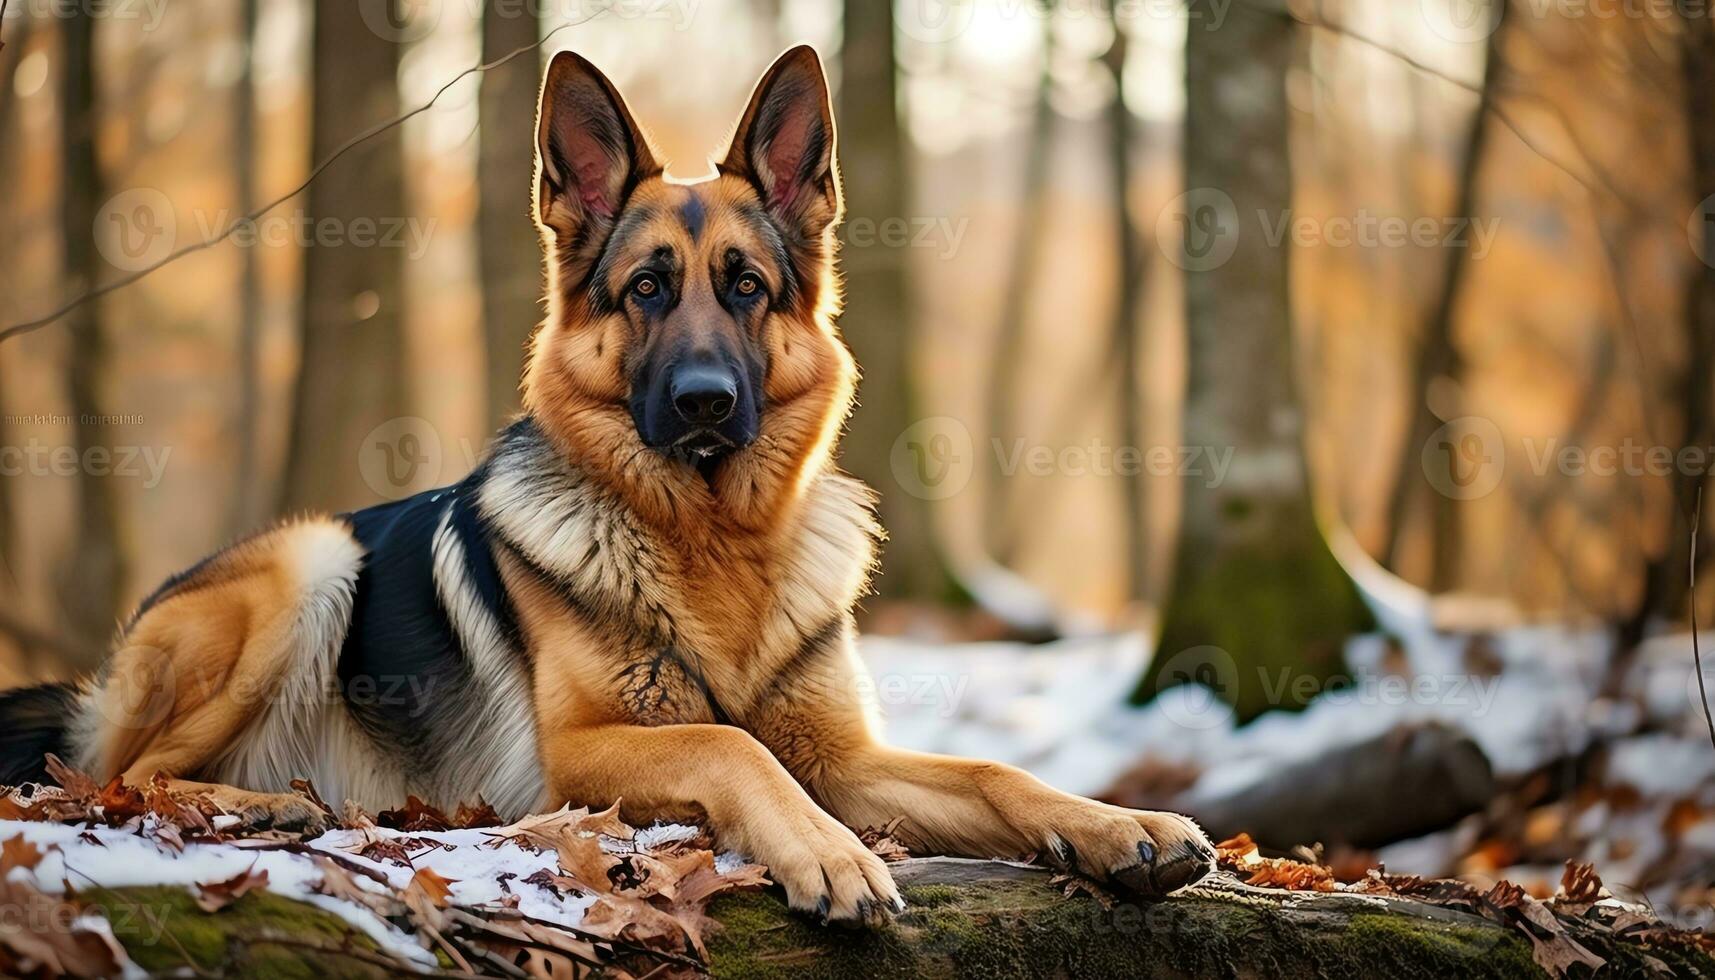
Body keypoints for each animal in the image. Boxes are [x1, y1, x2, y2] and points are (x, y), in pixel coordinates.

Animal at [0, 44, 1214, 919]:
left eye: (744, 286)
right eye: (645, 290)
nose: (705, 403)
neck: (716, 543)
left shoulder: (847, 756)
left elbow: (990, 771)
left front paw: (1117, 824)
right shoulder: (581, 752)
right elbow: (729, 743)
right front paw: (826, 853)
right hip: (309, 561)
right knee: (114, 775)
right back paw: (258, 808)